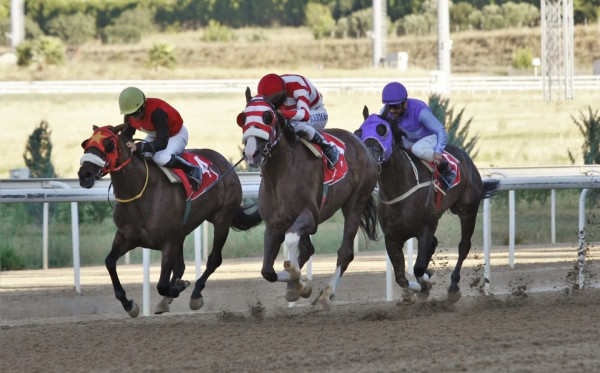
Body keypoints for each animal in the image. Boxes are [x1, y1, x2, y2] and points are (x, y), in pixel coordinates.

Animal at [77, 123, 260, 316]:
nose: (85, 174)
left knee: (214, 259)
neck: (141, 193)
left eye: (109, 145)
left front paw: (179, 287)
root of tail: (224, 162)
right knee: (181, 266)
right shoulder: (127, 237)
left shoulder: (169, 241)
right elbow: (110, 262)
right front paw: (129, 304)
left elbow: (162, 284)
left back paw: (196, 293)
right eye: (85, 144)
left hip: (222, 219)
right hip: (184, 231)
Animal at [239, 89, 380, 308]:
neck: (280, 174)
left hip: (356, 202)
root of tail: (363, 145)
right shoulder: (274, 224)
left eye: (268, 117)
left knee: (345, 252)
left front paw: (301, 283)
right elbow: (267, 271)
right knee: (307, 249)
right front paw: (295, 285)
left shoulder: (310, 216)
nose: (252, 153)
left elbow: (290, 240)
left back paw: (326, 294)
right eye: (243, 117)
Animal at [356, 106, 496, 300]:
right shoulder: (392, 236)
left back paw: (453, 286)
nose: (368, 155)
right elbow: (401, 277)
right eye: (359, 132)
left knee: (464, 246)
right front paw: (419, 286)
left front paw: (425, 283)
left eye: (382, 130)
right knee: (435, 245)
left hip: (467, 209)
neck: (399, 189)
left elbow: (418, 267)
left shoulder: (425, 228)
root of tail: (466, 158)